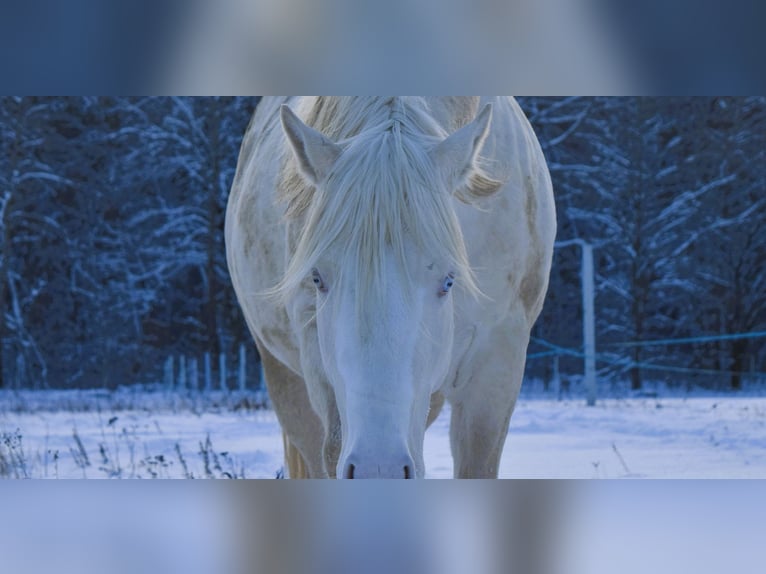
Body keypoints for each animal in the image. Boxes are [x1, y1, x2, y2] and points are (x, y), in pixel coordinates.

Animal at [225, 97, 555, 478]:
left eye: (449, 280)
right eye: (317, 278)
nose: (379, 468)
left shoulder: (497, 364)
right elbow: (333, 447)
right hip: (284, 377)